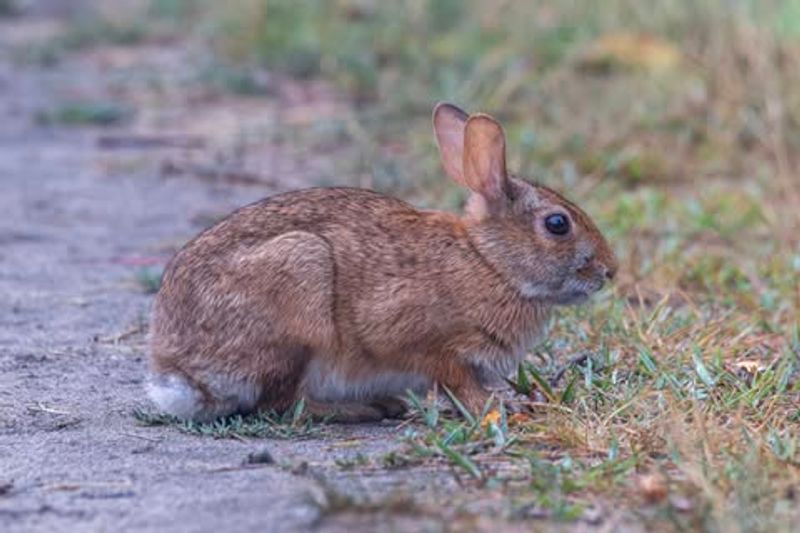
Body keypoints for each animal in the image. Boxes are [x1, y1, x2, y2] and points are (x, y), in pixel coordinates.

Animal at [146, 102, 618, 423]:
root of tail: (181, 374)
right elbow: (456, 381)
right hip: (301, 289)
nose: (609, 271)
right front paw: (497, 409)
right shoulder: (427, 343)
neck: (490, 263)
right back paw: (363, 409)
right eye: (557, 224)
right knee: (280, 403)